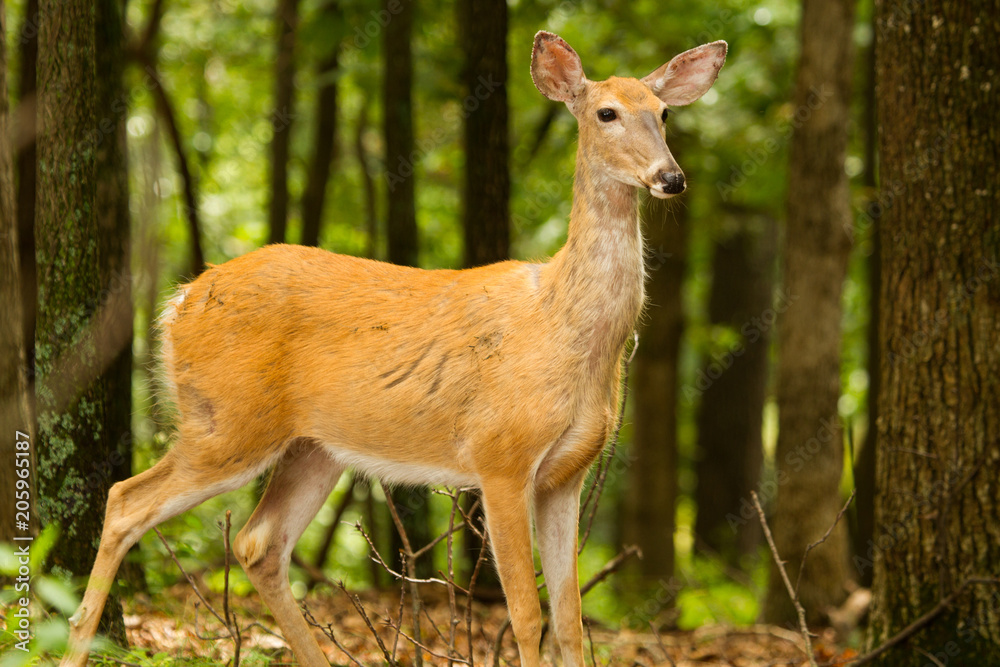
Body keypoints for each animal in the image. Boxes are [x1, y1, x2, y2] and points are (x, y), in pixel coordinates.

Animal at [62, 30, 728, 667]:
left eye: (664, 113)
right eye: (606, 112)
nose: (671, 177)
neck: (562, 327)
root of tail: (177, 303)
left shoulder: (565, 475)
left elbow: (570, 621)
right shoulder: (501, 454)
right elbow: (526, 615)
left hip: (312, 446)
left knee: (258, 543)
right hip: (226, 420)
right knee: (125, 501)